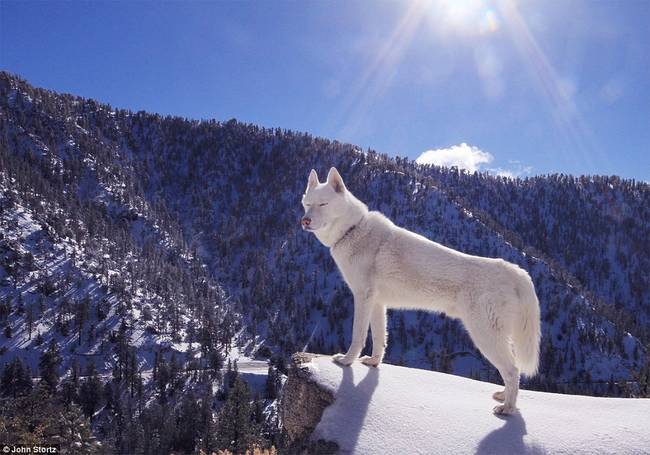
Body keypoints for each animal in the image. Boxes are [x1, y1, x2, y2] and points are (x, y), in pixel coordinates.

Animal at [302, 168, 540, 416]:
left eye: (323, 204)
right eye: (307, 204)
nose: (305, 221)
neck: (352, 230)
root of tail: (517, 271)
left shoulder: (362, 298)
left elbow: (358, 336)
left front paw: (347, 361)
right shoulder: (377, 304)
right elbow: (379, 338)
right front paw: (373, 363)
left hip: (485, 336)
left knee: (512, 370)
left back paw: (507, 408)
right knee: (512, 371)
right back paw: (503, 396)